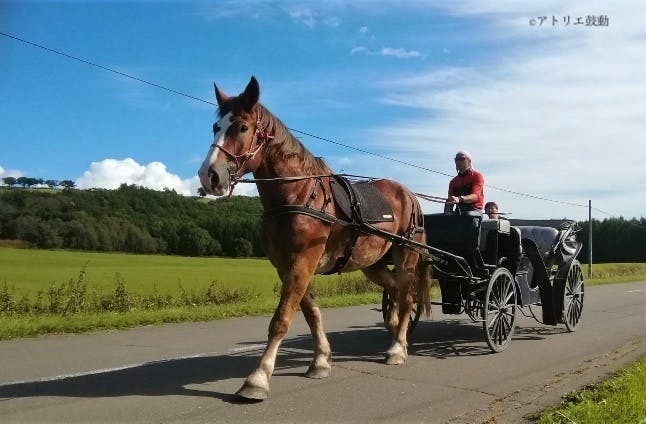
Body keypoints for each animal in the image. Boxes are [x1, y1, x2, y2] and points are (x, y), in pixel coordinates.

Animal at [196, 76, 430, 400]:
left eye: (241, 127)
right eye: (215, 126)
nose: (209, 175)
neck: (299, 194)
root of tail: (409, 194)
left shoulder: (302, 262)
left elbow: (281, 320)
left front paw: (258, 378)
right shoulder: (287, 265)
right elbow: (311, 313)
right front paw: (320, 360)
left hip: (406, 253)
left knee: (407, 295)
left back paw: (397, 348)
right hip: (373, 263)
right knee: (395, 290)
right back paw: (397, 333)